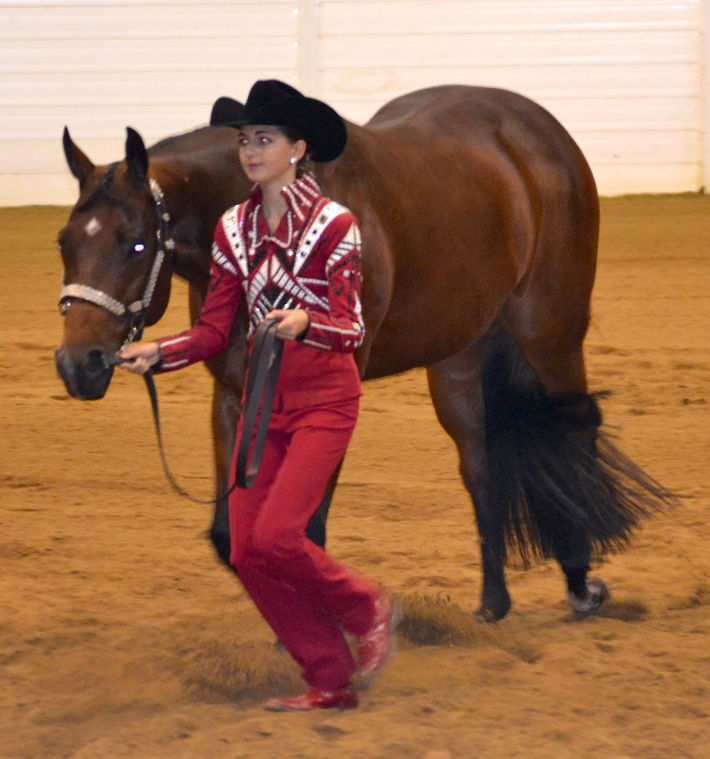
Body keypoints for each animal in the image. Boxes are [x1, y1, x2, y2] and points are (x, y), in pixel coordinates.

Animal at [55, 85, 671, 622]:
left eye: (136, 244)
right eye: (64, 241)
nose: (77, 364)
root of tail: (540, 132)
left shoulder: (333, 400)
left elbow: (303, 529)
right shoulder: (234, 394)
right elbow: (232, 536)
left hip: (549, 331)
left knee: (576, 431)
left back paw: (581, 584)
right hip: (459, 358)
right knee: (481, 465)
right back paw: (493, 605)